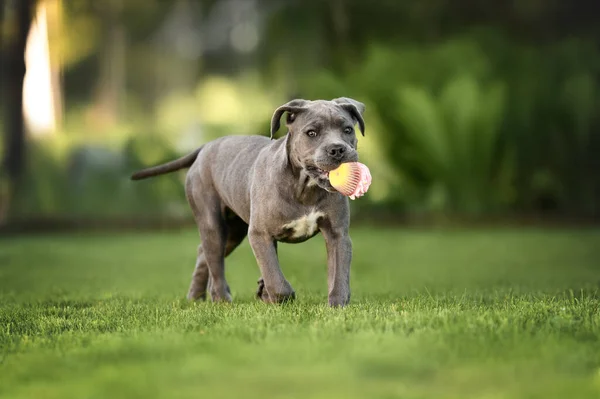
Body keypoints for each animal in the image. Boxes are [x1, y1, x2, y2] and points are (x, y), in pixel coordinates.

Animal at [131, 98, 366, 308]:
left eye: (347, 129)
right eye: (311, 133)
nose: (337, 149)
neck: (304, 186)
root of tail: (205, 147)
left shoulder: (337, 235)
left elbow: (338, 274)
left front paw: (337, 306)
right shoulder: (260, 234)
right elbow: (275, 278)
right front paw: (277, 295)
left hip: (233, 231)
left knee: (203, 254)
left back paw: (196, 297)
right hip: (213, 223)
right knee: (215, 262)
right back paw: (221, 298)